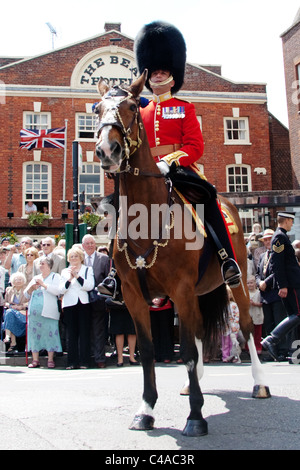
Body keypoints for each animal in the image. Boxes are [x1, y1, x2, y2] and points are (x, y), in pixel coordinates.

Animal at [95, 70, 270, 436]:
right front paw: (146, 410)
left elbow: (187, 350)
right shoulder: (135, 296)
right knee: (201, 330)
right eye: (97, 109)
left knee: (247, 327)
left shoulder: (181, 288)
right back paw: (194, 384)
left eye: (131, 107)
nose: (107, 150)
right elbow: (148, 351)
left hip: (236, 283)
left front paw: (195, 417)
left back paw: (259, 382)